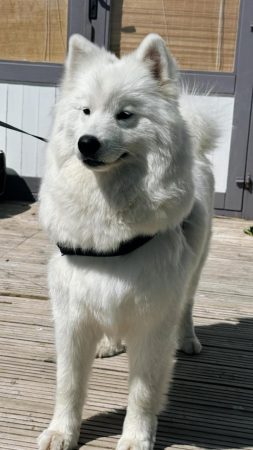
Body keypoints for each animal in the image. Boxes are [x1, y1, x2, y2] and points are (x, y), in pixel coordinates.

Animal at [37, 33, 217, 448]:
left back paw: (188, 339)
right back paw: (110, 344)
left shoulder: (152, 323)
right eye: (86, 111)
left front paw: (136, 438)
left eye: (125, 115)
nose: (86, 143)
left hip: (194, 272)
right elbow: (68, 385)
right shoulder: (73, 317)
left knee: (187, 305)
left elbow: (143, 392)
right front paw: (62, 432)